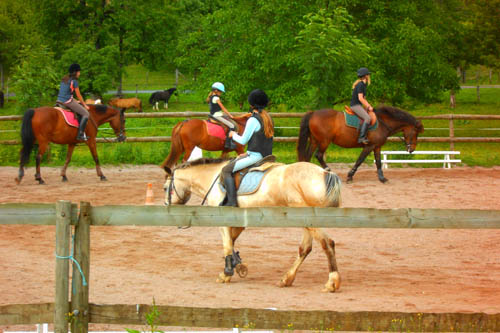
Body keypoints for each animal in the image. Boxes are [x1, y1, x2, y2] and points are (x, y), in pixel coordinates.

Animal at [164, 158, 344, 290]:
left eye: (166, 188)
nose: (166, 206)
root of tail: (324, 173)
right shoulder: (239, 222)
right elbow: (231, 243)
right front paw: (237, 265)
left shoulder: (223, 220)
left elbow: (227, 245)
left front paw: (227, 273)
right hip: (306, 220)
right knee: (305, 249)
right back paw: (287, 279)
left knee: (327, 243)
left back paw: (332, 282)